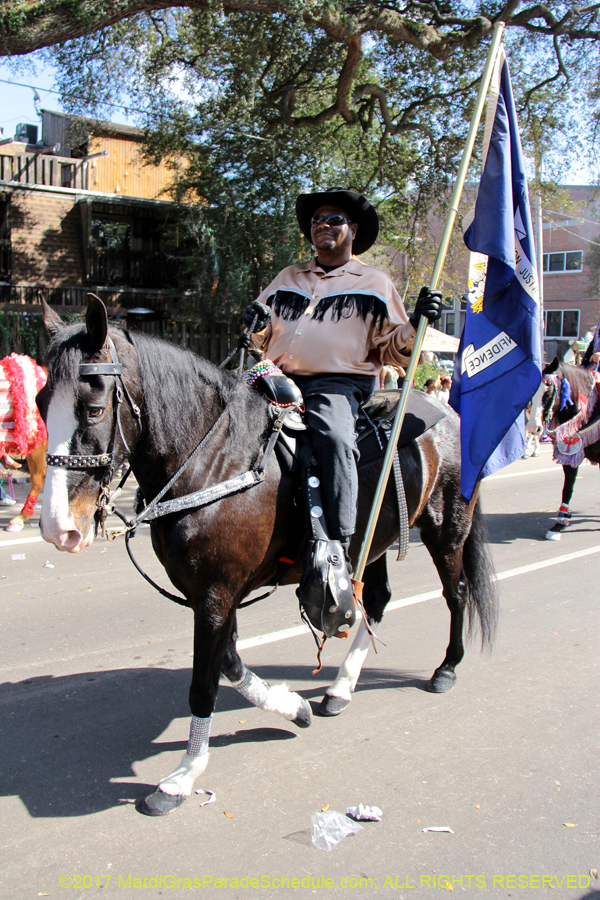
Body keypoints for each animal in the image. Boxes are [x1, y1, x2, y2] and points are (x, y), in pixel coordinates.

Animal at [36, 300, 496, 816]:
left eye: (94, 409)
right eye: (39, 403)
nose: (57, 528)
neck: (214, 460)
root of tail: (448, 411)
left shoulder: (215, 595)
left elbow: (204, 681)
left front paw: (182, 777)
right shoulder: (213, 594)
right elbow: (231, 664)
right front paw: (292, 707)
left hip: (446, 531)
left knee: (455, 593)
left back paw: (446, 668)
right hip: (374, 538)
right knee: (375, 599)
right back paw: (339, 688)